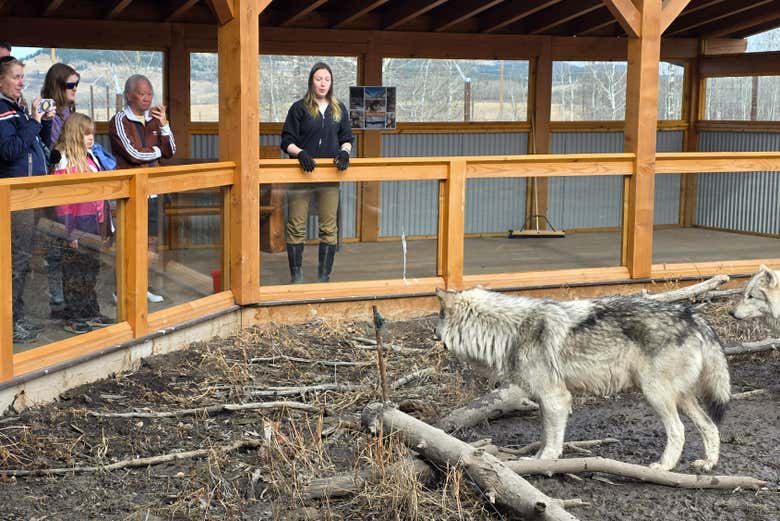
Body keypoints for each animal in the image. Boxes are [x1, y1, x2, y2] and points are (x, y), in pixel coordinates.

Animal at [435, 287, 731, 471]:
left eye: (438, 319)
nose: (433, 334)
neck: (509, 330)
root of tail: (694, 316)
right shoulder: (546, 399)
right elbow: (546, 434)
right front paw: (539, 457)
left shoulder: (556, 397)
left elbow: (553, 440)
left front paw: (545, 462)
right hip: (681, 398)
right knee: (710, 426)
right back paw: (708, 464)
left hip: (656, 395)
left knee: (679, 430)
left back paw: (665, 466)